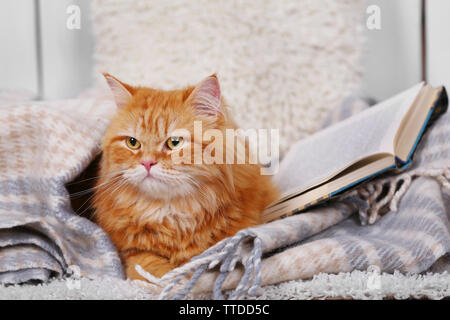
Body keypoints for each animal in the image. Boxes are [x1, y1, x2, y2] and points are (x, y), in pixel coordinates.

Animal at [94, 74, 278, 278]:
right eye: (132, 143)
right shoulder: (132, 251)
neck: (171, 215)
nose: (147, 163)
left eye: (174, 142)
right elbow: (147, 266)